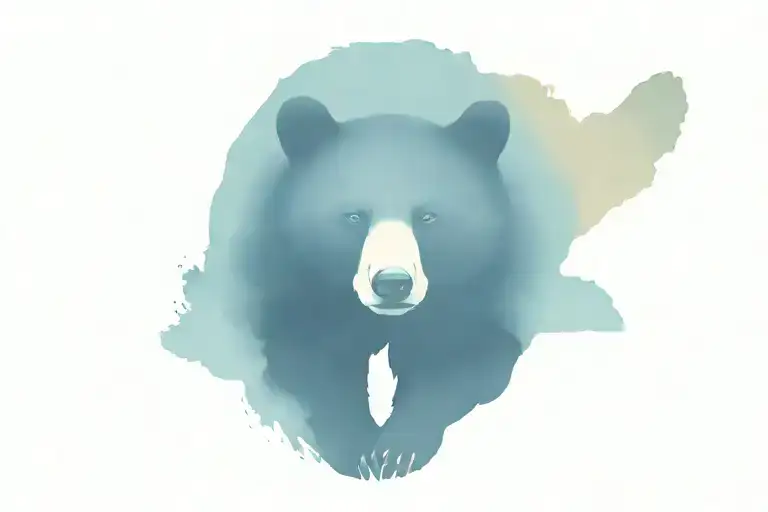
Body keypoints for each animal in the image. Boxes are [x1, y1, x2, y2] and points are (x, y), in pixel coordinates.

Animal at [247, 96, 524, 478]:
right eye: (354, 216)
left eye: (427, 217)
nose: (393, 283)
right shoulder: (305, 291)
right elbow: (306, 358)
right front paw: (357, 452)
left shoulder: (466, 300)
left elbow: (469, 358)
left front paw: (397, 453)